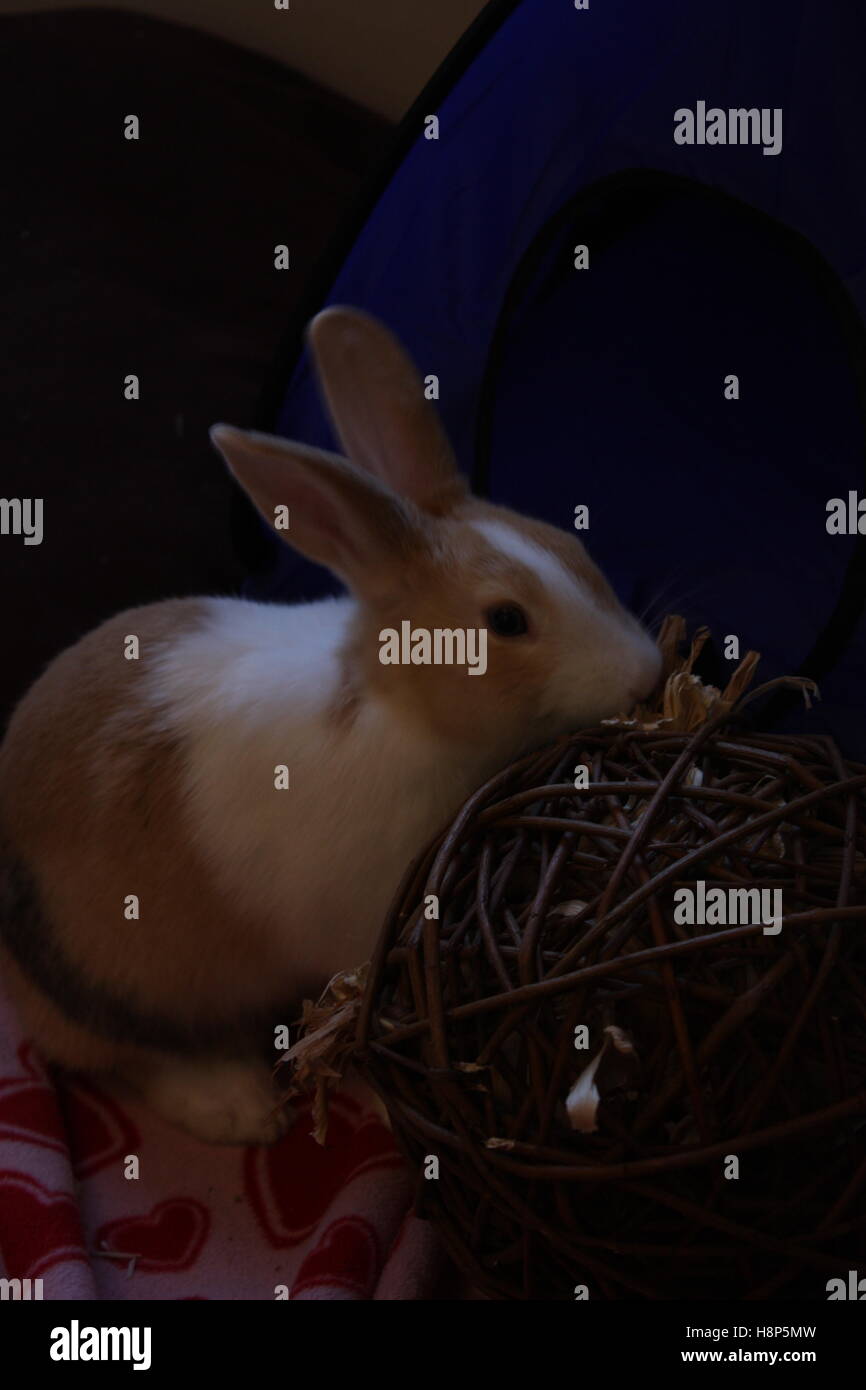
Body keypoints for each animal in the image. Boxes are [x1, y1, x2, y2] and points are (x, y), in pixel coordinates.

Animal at [0, 307, 661, 1145]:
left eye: (572, 546)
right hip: (123, 983)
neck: (397, 710)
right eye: (506, 620)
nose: (648, 674)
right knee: (126, 1058)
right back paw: (238, 1106)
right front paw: (388, 1100)